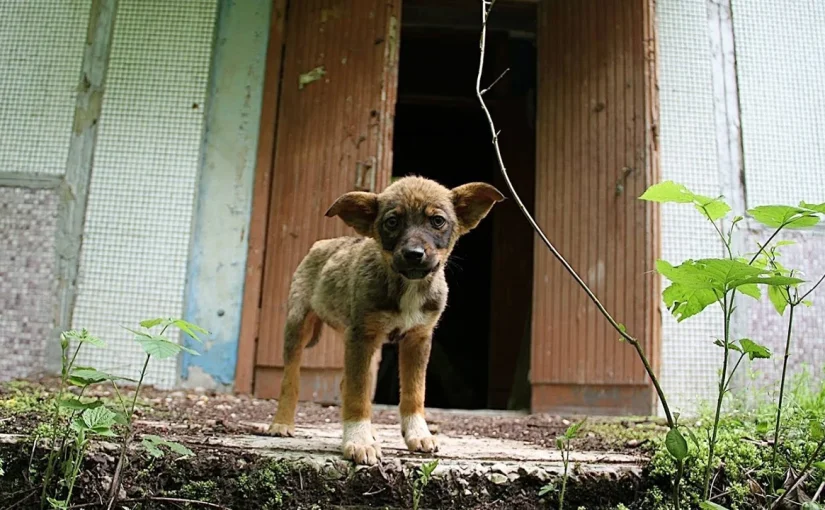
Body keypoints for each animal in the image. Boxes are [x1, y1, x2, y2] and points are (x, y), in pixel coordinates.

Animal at [268, 176, 506, 466]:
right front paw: (358, 441)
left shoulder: (418, 338)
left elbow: (414, 392)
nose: (414, 253)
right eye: (392, 222)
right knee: (291, 379)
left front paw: (417, 434)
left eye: (437, 221)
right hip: (298, 325)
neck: (408, 286)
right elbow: (358, 394)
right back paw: (282, 423)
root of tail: (321, 244)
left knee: (346, 383)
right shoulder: (361, 336)